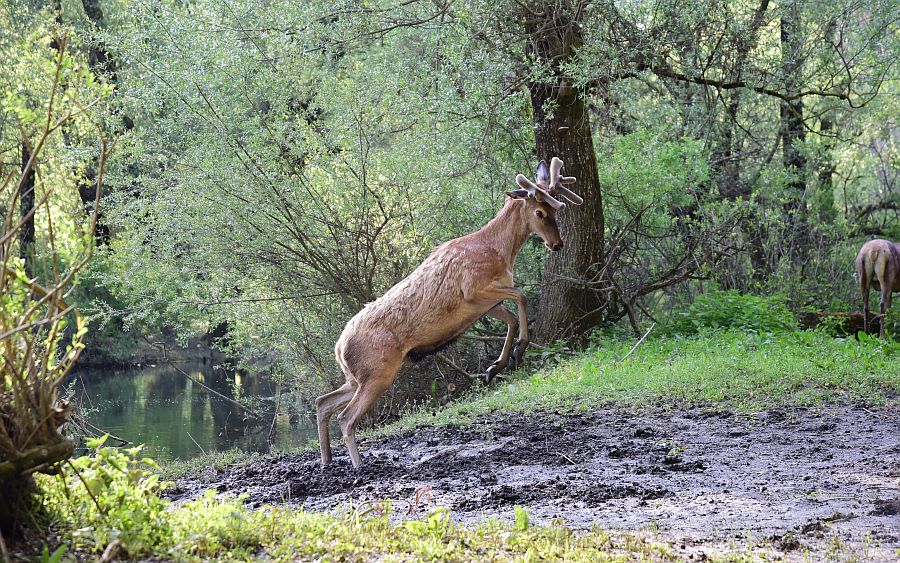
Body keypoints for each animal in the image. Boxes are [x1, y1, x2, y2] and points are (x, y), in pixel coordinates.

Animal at [316, 158, 584, 468]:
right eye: (540, 212)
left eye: (555, 210)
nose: (557, 244)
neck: (501, 251)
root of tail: (339, 348)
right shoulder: (473, 289)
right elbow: (522, 296)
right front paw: (519, 350)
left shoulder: (484, 304)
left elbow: (512, 317)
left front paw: (496, 366)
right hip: (377, 372)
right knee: (346, 417)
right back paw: (359, 466)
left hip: (357, 376)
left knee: (322, 403)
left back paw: (327, 460)